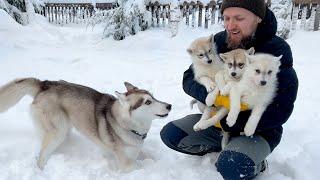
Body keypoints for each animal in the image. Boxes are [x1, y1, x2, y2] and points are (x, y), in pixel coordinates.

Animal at [0, 78, 172, 170]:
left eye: (153, 96)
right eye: (147, 102)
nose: (169, 105)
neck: (127, 125)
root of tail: (45, 84)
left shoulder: (137, 150)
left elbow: (149, 156)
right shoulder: (126, 164)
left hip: (64, 129)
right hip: (58, 131)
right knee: (40, 157)